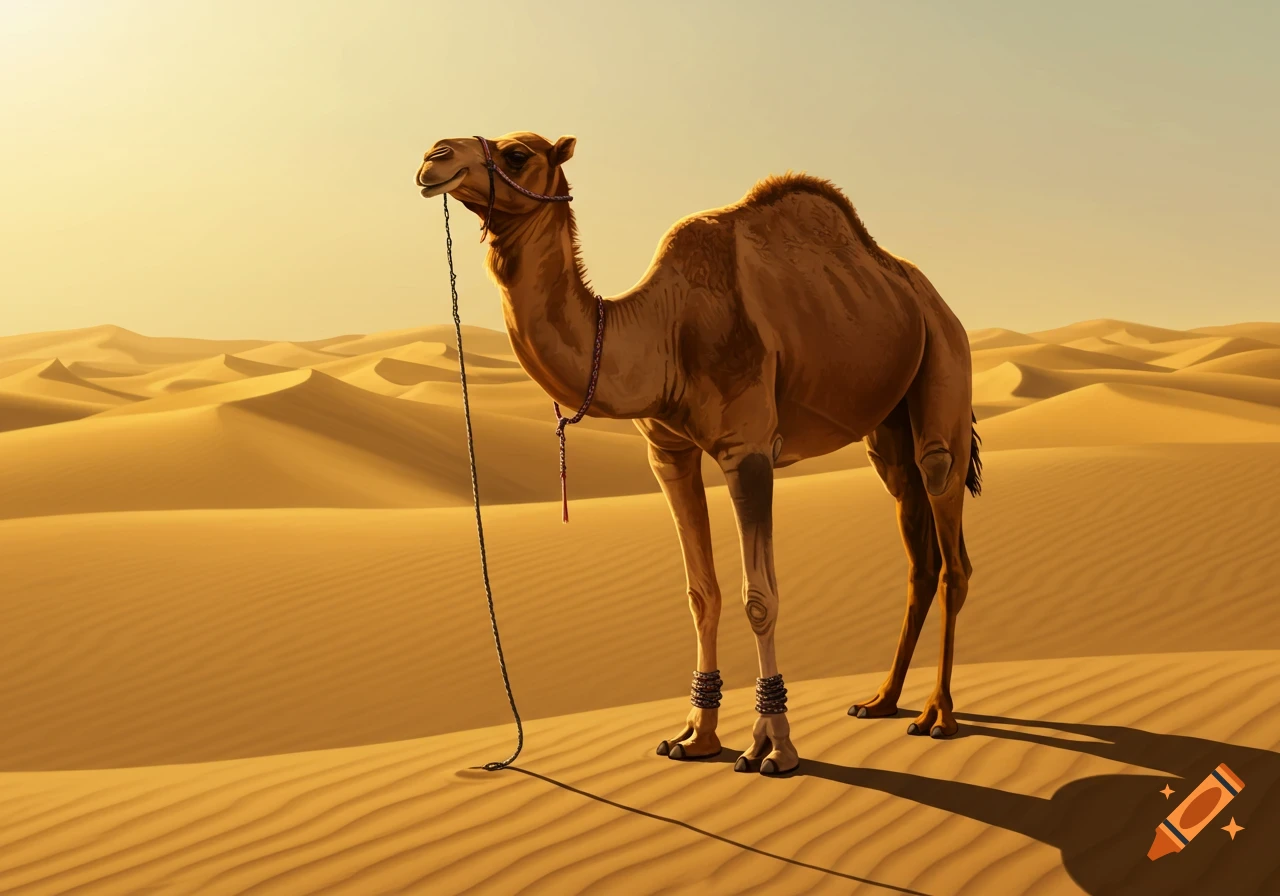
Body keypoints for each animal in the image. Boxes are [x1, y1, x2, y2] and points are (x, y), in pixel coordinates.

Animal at [416, 132, 981, 776]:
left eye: (516, 154)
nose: (434, 157)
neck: (663, 327)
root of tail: (932, 298)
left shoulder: (748, 448)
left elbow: (760, 598)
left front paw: (773, 746)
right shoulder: (668, 453)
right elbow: (699, 593)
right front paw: (695, 736)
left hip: (944, 366)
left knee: (948, 527)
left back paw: (938, 715)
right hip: (886, 429)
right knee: (918, 549)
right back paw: (882, 701)